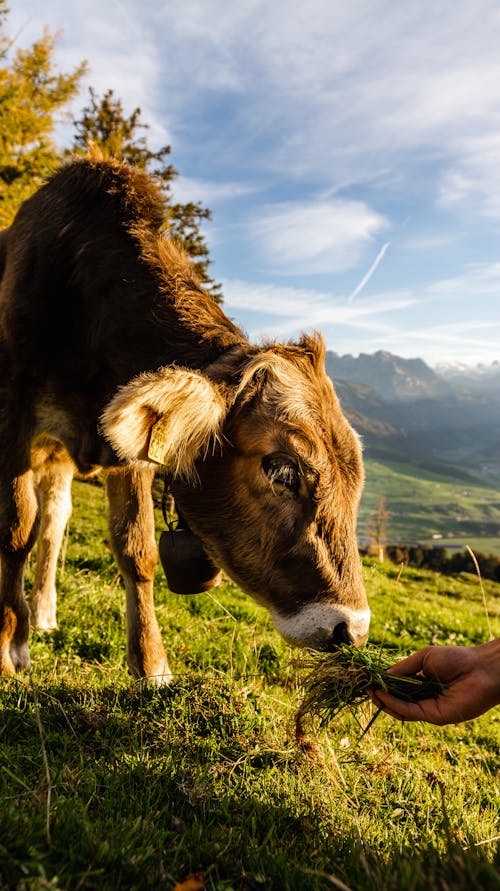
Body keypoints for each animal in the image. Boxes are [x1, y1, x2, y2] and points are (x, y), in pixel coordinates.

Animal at [0, 153, 368, 684]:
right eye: (281, 470)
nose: (351, 629)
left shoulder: (125, 448)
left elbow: (136, 546)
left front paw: (151, 665)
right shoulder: (13, 408)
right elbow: (15, 527)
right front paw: (10, 646)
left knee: (55, 517)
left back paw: (45, 611)